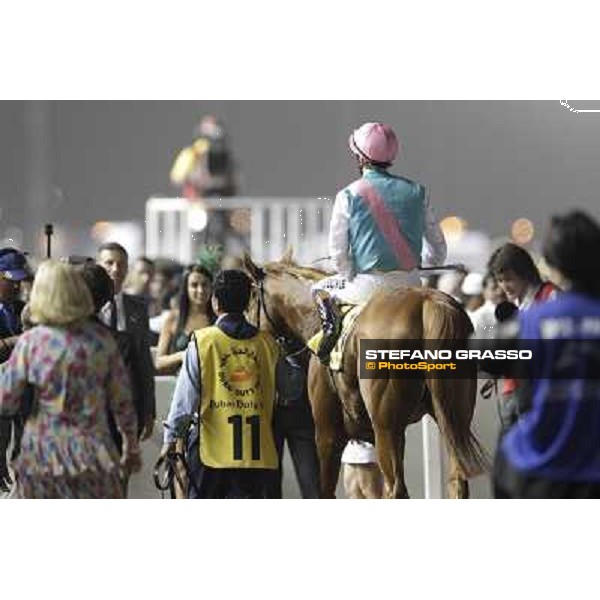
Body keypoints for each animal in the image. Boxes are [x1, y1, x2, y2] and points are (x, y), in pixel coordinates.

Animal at [244, 251, 488, 500]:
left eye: (250, 297)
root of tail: (427, 303)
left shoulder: (326, 432)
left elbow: (325, 491)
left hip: (386, 427)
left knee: (398, 490)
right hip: (450, 417)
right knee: (457, 480)